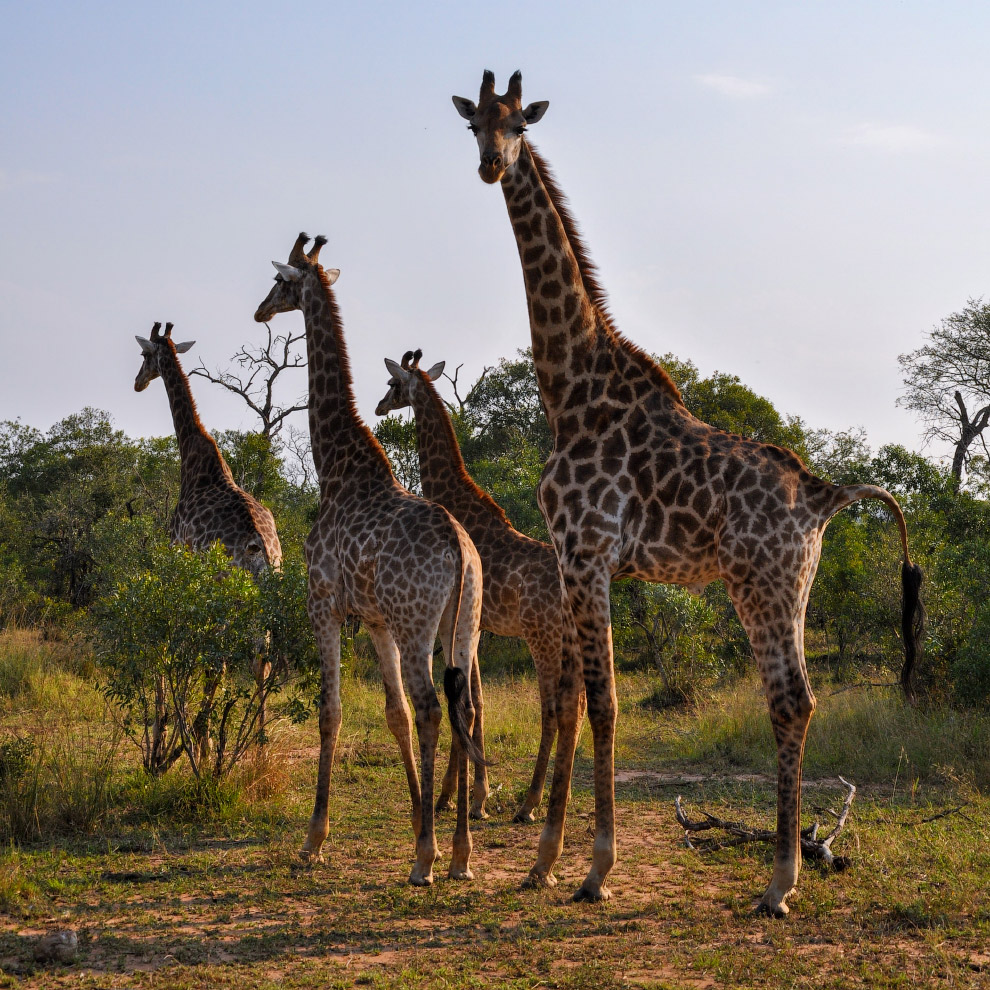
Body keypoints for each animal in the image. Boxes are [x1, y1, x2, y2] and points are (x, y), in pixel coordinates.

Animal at [134, 326, 284, 768]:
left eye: (145, 357)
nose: (137, 382)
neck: (193, 459)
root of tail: (260, 548)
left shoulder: (175, 555)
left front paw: (169, 731)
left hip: (225, 592)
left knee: (219, 660)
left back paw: (202, 739)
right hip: (267, 591)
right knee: (261, 659)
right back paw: (258, 743)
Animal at [254, 236, 490, 888]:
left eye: (280, 283)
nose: (259, 312)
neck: (335, 467)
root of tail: (460, 550)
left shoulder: (324, 604)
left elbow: (332, 711)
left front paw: (314, 839)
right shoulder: (378, 620)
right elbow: (394, 714)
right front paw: (414, 817)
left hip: (418, 626)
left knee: (436, 706)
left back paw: (428, 861)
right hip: (461, 624)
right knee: (461, 707)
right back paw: (459, 853)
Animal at [376, 344, 568, 824]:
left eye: (391, 383)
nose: (379, 406)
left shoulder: (466, 623)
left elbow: (469, 703)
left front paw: (454, 796)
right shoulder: (476, 626)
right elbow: (477, 703)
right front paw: (475, 796)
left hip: (543, 637)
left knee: (552, 710)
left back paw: (530, 804)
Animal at [454, 71, 928, 924]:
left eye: (518, 125)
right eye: (474, 123)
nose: (489, 165)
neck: (569, 390)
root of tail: (823, 495)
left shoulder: (588, 552)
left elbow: (601, 704)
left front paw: (595, 870)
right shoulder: (576, 560)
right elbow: (575, 704)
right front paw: (542, 863)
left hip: (759, 587)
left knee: (790, 701)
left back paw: (779, 883)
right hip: (793, 589)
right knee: (799, 700)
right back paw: (782, 875)